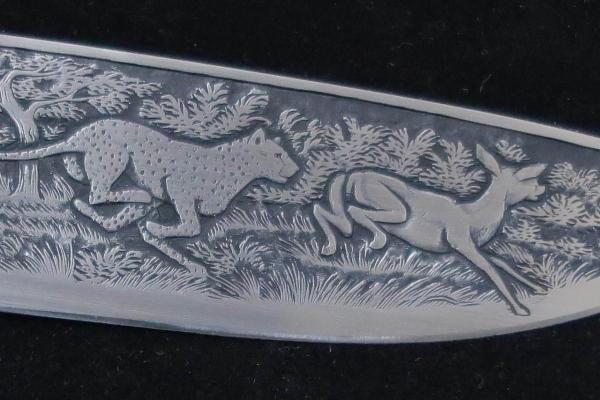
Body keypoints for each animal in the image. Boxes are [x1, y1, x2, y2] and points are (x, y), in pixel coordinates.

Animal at [313, 145, 547, 316]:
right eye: (525, 178)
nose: (541, 187)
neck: (475, 215)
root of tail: (351, 174)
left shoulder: (470, 246)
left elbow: (501, 262)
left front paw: (539, 287)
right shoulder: (460, 241)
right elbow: (490, 268)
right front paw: (520, 309)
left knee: (325, 212)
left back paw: (329, 247)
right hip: (391, 205)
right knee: (354, 211)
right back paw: (377, 239)